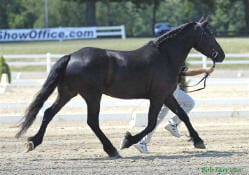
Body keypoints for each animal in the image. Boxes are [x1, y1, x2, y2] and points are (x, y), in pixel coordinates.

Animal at [15, 18, 226, 158]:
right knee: (92, 121)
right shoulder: (158, 97)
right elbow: (151, 123)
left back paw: (33, 142)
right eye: (208, 34)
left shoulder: (167, 96)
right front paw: (128, 140)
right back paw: (112, 149)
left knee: (49, 113)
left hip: (68, 93)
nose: (221, 55)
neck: (164, 57)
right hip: (92, 95)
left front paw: (198, 141)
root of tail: (71, 56)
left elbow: (183, 115)